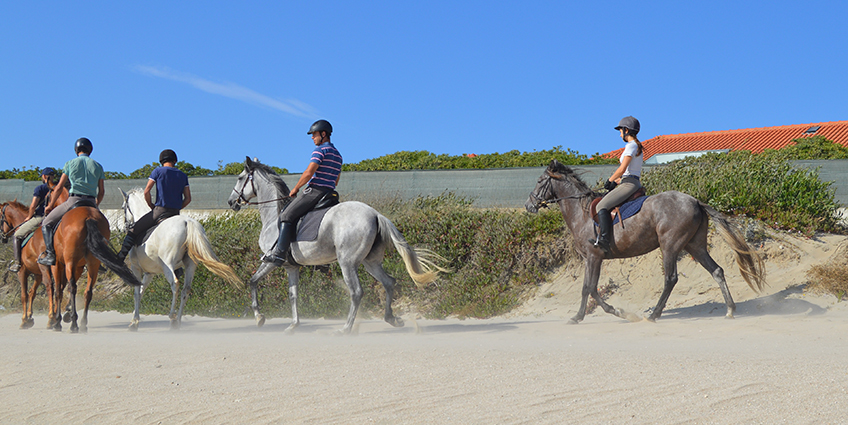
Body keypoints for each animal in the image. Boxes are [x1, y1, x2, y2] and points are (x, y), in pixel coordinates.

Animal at [0, 186, 69, 328]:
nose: (2, 237)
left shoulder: (22, 271)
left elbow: (24, 295)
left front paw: (24, 320)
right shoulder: (37, 274)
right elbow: (32, 292)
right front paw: (29, 317)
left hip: (46, 267)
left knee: (50, 287)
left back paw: (51, 318)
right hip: (61, 267)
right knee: (60, 288)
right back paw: (60, 316)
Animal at [117, 187, 242, 330]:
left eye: (123, 207)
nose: (126, 227)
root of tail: (187, 222)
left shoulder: (136, 268)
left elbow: (137, 293)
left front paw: (134, 322)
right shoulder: (150, 273)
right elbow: (142, 291)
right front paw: (134, 319)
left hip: (167, 264)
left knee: (175, 284)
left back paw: (172, 317)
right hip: (190, 265)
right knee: (186, 290)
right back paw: (178, 321)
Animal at [229, 157, 448, 334]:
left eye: (240, 178)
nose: (231, 202)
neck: (274, 216)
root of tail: (375, 214)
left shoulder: (272, 261)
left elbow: (253, 281)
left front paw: (259, 317)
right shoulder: (291, 266)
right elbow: (293, 295)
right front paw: (293, 325)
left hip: (347, 263)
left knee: (357, 292)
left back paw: (346, 328)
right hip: (370, 262)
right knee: (388, 282)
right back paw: (392, 319)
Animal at [524, 161, 768, 322]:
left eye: (539, 181)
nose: (529, 205)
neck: (581, 213)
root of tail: (695, 201)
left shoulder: (594, 256)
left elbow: (590, 288)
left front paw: (615, 312)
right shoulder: (589, 259)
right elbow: (587, 288)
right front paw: (579, 316)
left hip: (670, 245)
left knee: (670, 278)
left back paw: (655, 314)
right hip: (695, 245)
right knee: (716, 271)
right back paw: (730, 309)